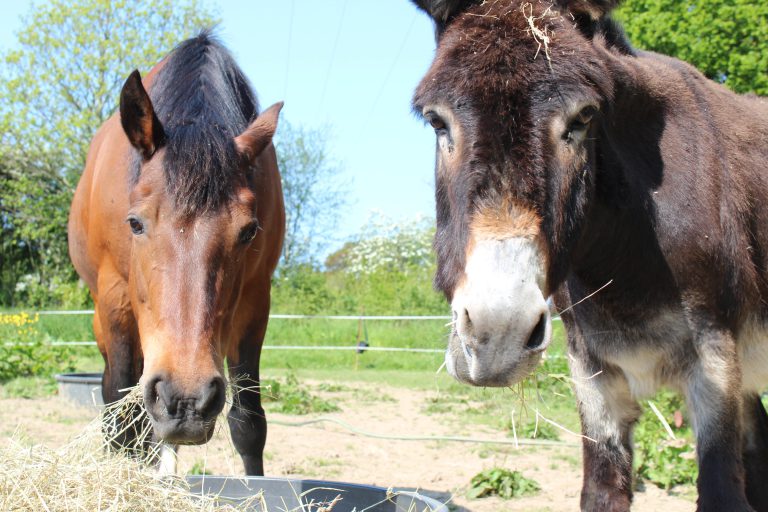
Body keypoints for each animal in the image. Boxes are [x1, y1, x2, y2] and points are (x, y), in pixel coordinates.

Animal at [67, 32, 285, 475]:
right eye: (134, 223)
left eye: (249, 231)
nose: (186, 401)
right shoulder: (115, 301)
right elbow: (121, 418)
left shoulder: (255, 302)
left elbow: (249, 424)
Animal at [412, 0, 768, 510]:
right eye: (437, 121)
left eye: (582, 119)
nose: (498, 335)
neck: (623, 265)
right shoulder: (592, 373)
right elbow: (600, 490)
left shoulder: (716, 361)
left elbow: (722, 491)